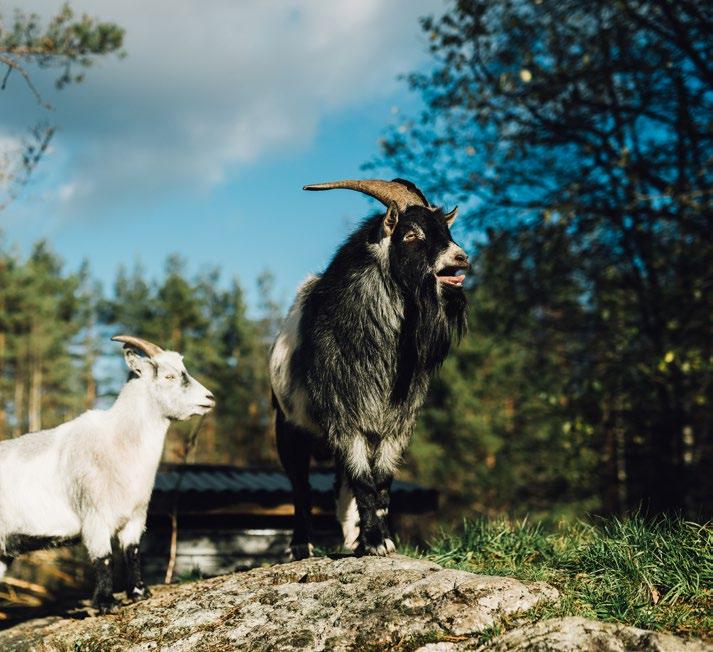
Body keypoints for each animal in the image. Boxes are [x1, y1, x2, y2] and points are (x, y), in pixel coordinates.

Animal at [0, 336, 213, 612]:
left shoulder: (135, 516)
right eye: (169, 376)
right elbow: (104, 559)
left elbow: (132, 552)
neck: (117, 440)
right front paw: (106, 603)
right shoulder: (95, 517)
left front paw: (139, 593)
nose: (209, 398)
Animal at [268, 181, 468, 556]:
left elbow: (382, 484)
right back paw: (301, 547)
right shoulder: (345, 418)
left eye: (446, 230)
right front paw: (376, 542)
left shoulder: (396, 426)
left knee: (340, 487)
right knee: (301, 488)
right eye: (410, 234)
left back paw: (350, 541)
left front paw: (377, 540)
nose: (461, 258)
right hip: (289, 429)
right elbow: (362, 480)